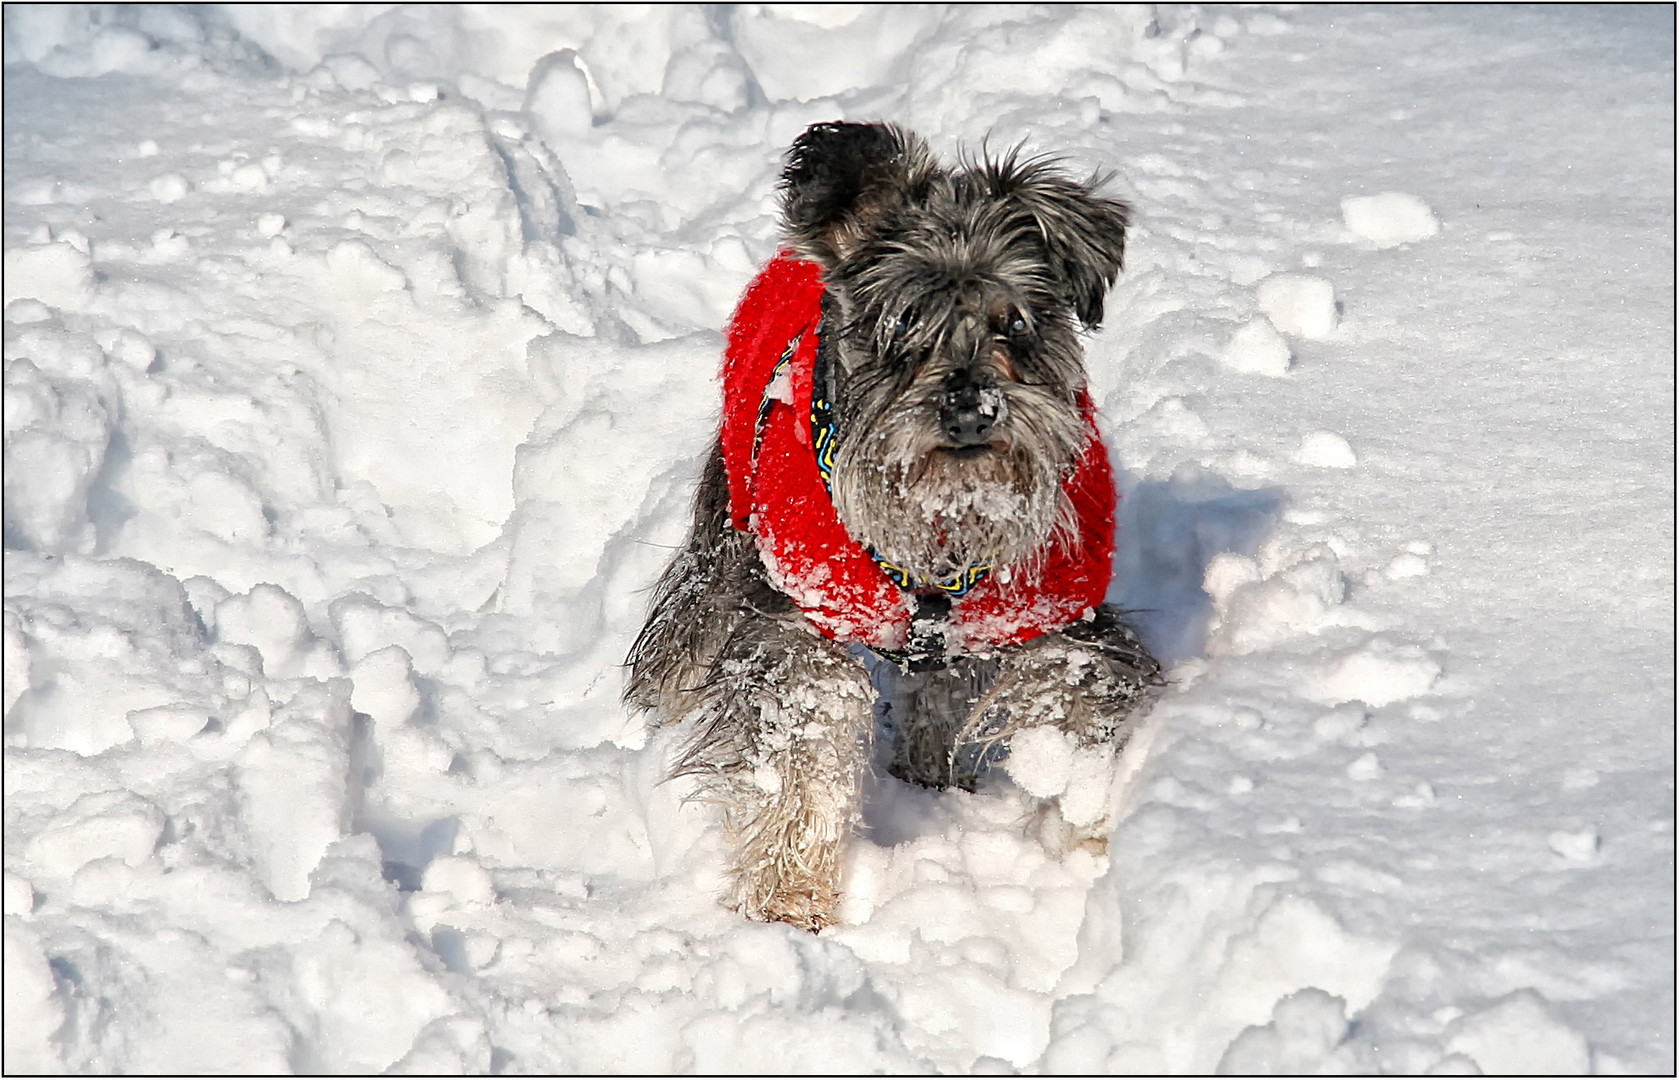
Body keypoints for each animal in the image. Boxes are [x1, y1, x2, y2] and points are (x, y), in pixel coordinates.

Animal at [624, 122, 1161, 933]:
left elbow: (1075, 707)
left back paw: (928, 769)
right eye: (904, 323)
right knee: (685, 637)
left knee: (936, 690)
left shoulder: (1063, 614)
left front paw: (1085, 831)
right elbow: (806, 736)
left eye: (1014, 322)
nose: (971, 411)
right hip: (724, 534)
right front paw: (788, 892)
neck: (940, 530)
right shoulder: (790, 621)